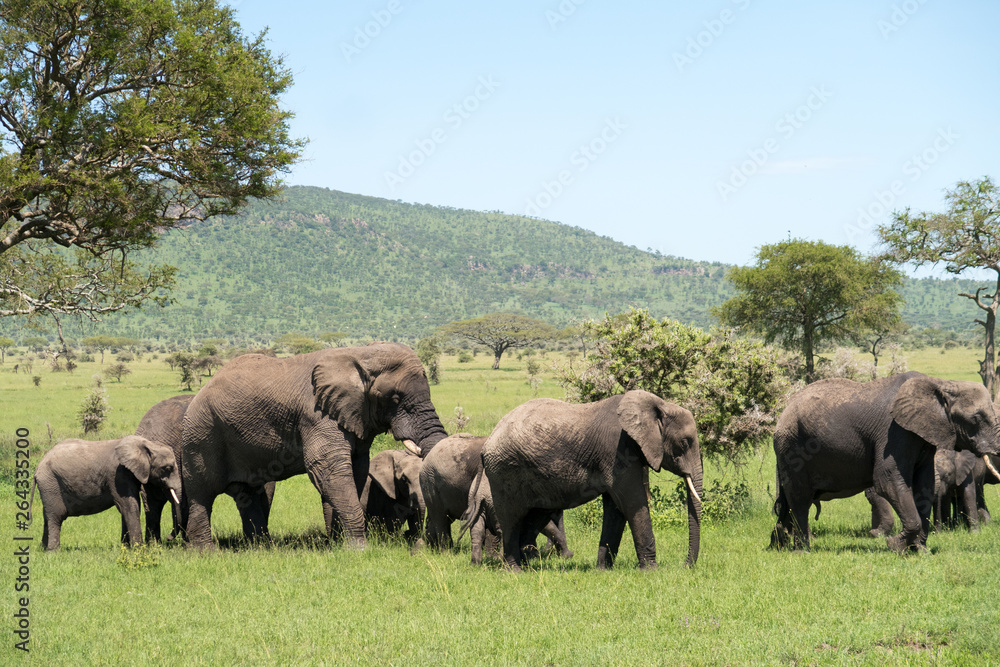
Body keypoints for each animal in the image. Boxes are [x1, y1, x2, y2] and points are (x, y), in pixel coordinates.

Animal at [30, 436, 184, 552]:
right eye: (167, 468)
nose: (168, 538)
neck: (146, 444)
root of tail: (38, 467)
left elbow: (127, 508)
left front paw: (126, 548)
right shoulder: (118, 474)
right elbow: (129, 506)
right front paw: (139, 550)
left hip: (48, 486)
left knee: (47, 517)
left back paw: (43, 549)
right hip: (51, 483)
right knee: (56, 516)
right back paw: (53, 552)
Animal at [181, 342, 446, 552]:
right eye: (395, 398)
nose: (418, 542)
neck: (362, 353)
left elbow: (356, 471)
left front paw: (337, 544)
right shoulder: (317, 414)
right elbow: (328, 470)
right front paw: (359, 550)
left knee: (250, 495)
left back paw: (262, 548)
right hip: (201, 436)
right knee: (202, 495)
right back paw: (207, 553)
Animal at [478, 392, 700, 576]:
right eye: (684, 443)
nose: (685, 566)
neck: (659, 405)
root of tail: (488, 441)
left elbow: (615, 510)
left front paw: (602, 571)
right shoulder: (617, 450)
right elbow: (632, 504)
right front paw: (652, 572)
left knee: (534, 517)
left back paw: (527, 566)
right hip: (504, 471)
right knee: (511, 519)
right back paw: (515, 571)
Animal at [772, 374, 1000, 556]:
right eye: (976, 417)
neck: (940, 383)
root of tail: (783, 411)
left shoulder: (922, 436)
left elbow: (924, 484)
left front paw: (920, 551)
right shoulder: (894, 433)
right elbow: (887, 479)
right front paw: (895, 546)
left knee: (790, 501)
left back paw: (779, 545)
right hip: (793, 448)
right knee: (800, 499)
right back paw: (802, 551)